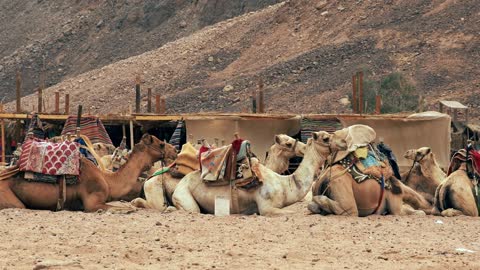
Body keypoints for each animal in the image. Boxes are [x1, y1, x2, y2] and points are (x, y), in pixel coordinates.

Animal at [167, 132, 344, 216]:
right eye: (326, 138)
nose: (343, 142)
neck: (285, 184)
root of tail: (182, 181)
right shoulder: (267, 208)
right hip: (183, 195)